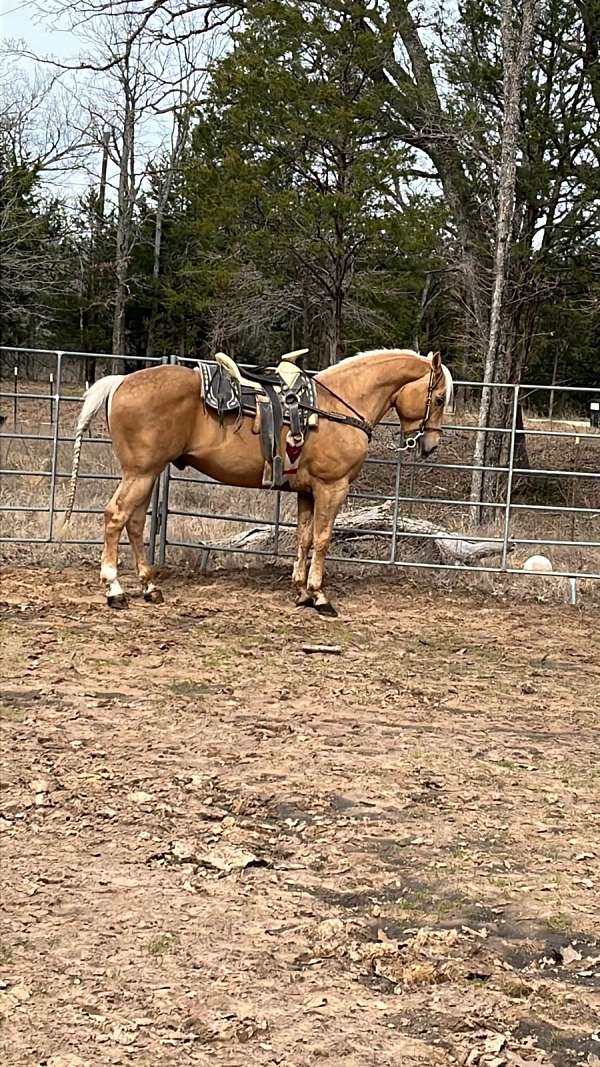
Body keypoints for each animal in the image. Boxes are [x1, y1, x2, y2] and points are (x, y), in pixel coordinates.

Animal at [61, 348, 453, 616]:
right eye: (438, 398)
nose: (430, 444)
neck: (337, 406)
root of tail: (121, 382)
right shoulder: (332, 487)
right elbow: (323, 539)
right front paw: (320, 597)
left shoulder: (307, 492)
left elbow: (304, 538)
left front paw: (301, 592)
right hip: (140, 473)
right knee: (115, 516)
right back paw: (114, 590)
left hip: (147, 474)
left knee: (136, 522)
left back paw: (150, 587)